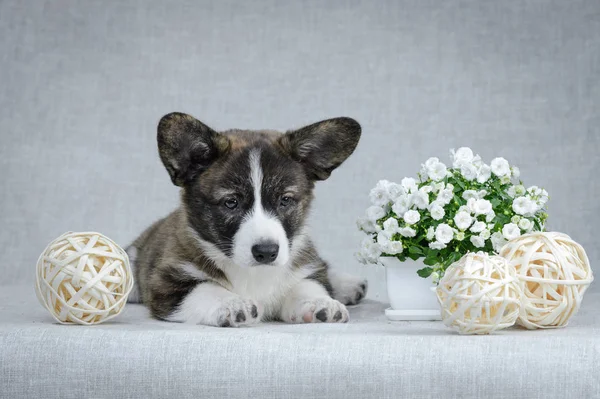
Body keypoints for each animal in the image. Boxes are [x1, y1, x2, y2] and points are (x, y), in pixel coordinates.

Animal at [127, 112, 366, 328]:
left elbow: (306, 285)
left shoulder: (305, 269)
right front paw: (233, 304)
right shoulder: (168, 284)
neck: (253, 273)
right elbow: (206, 289)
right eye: (231, 202)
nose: (267, 252)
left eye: (285, 200)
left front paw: (319, 302)